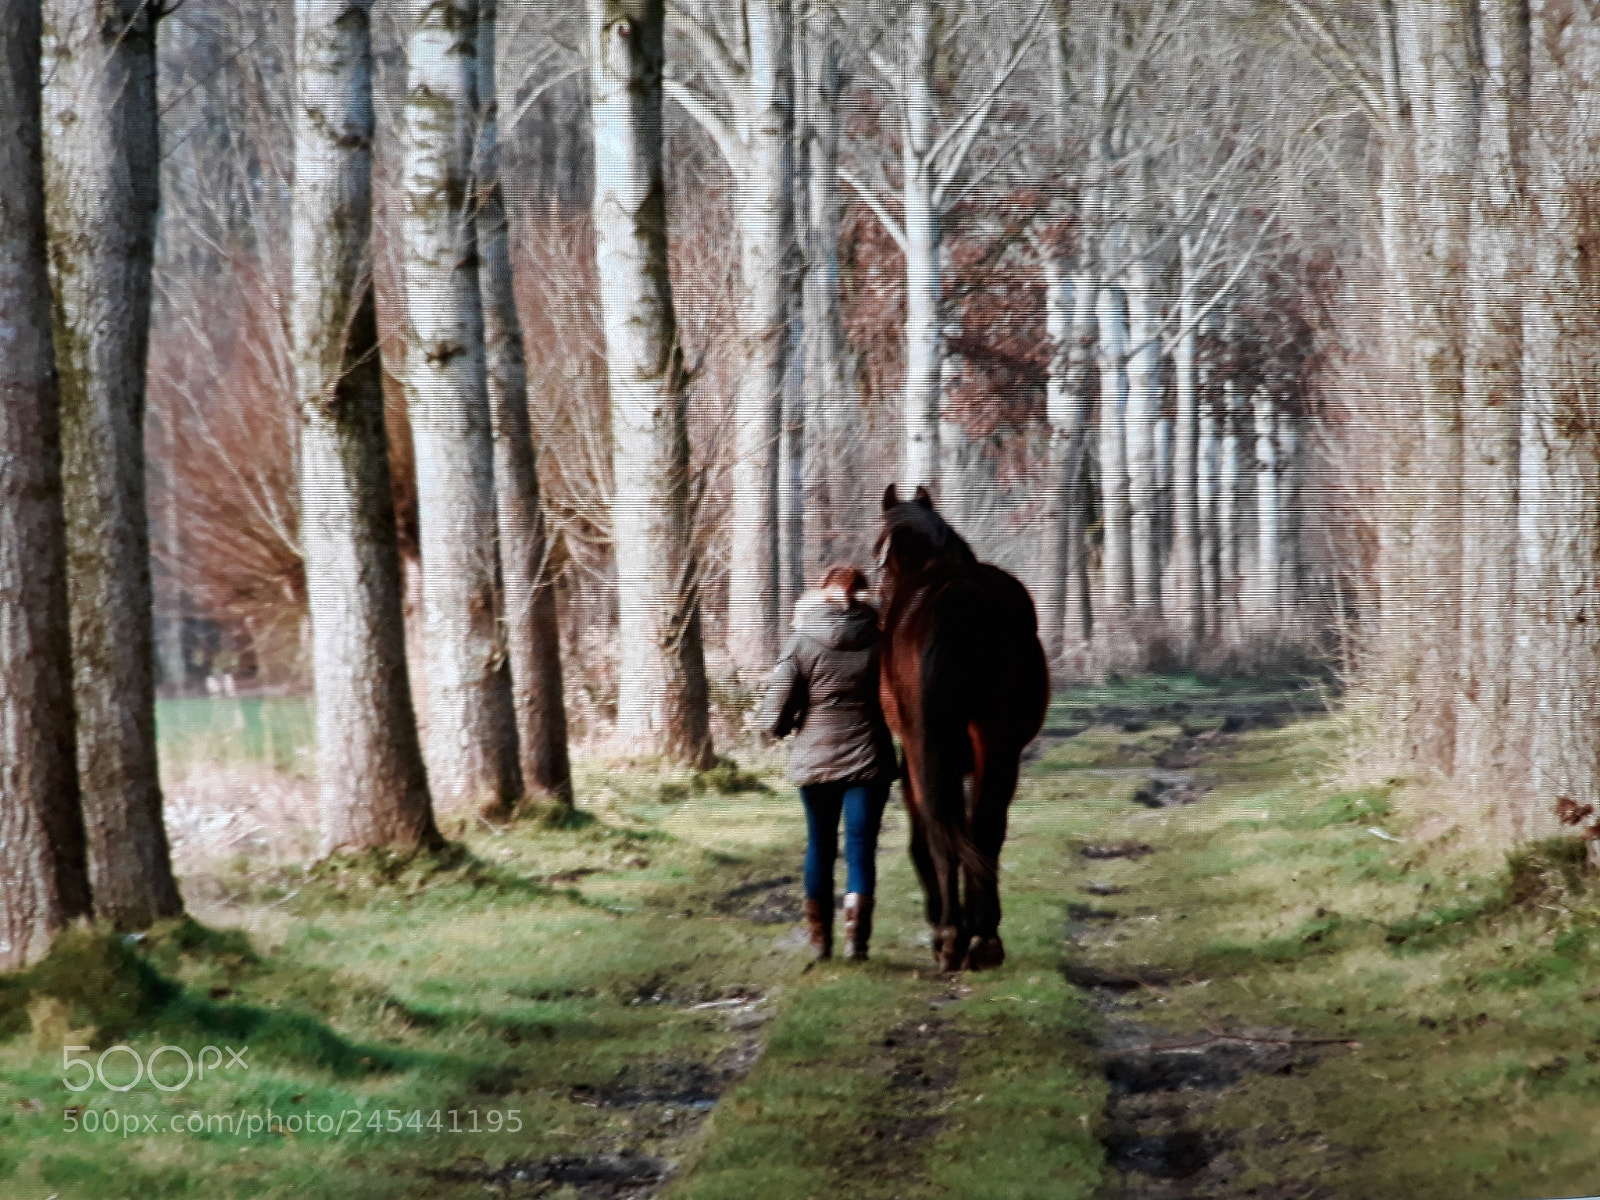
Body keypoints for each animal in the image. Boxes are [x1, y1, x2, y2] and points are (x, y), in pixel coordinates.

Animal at [874, 484, 1050, 971]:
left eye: (879, 558)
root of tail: (958, 600)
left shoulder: (914, 758)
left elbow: (924, 835)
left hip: (927, 750)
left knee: (939, 830)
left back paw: (952, 935)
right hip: (998, 744)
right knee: (986, 828)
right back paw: (984, 938)